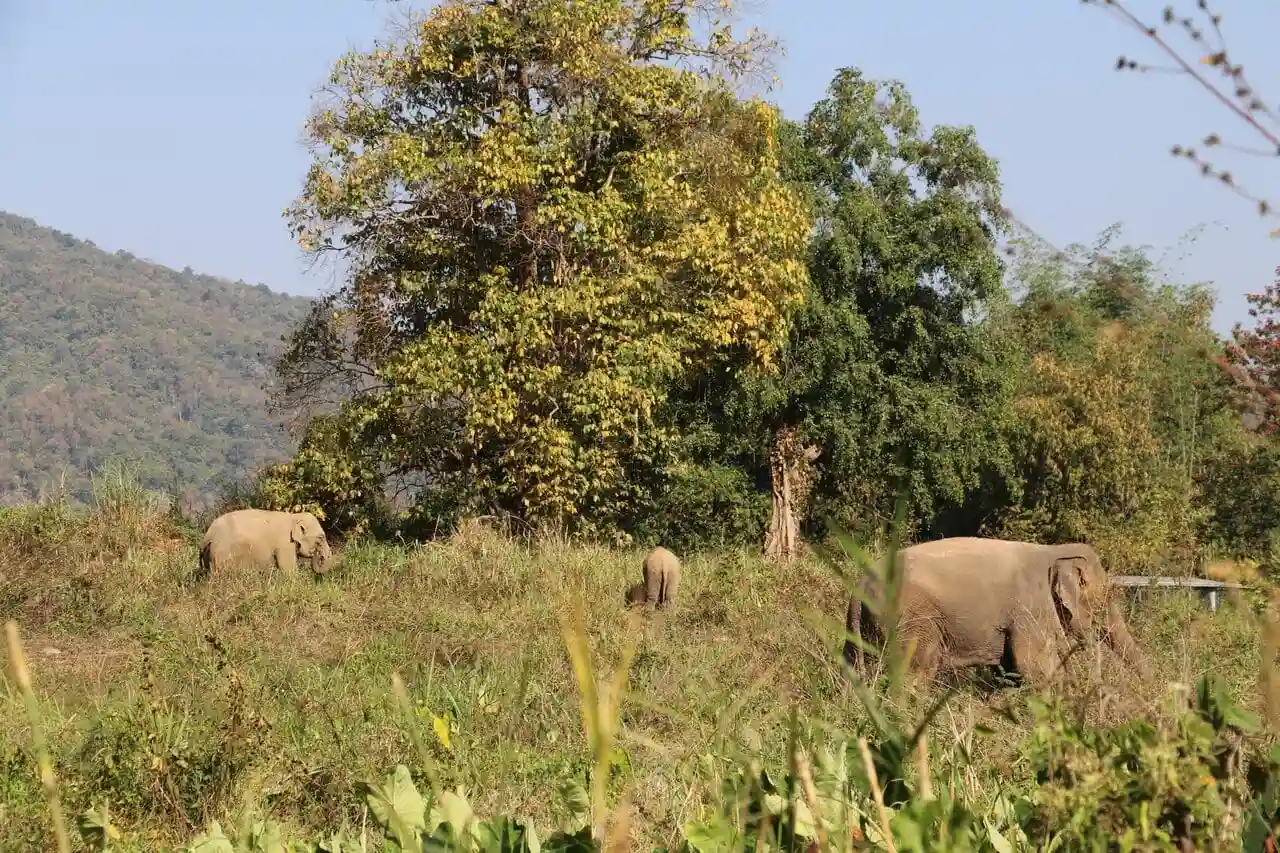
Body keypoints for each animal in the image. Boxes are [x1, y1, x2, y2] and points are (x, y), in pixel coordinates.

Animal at [199, 508, 332, 579]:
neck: (294, 517)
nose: (320, 556)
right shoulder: (284, 543)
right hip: (221, 555)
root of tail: (208, 534)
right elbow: (288, 570)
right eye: (321, 537)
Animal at [841, 537, 1150, 688]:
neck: (1055, 552)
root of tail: (861, 584)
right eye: (1107, 596)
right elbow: (1033, 667)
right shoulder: (1029, 606)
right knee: (915, 672)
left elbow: (1011, 670)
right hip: (911, 619)